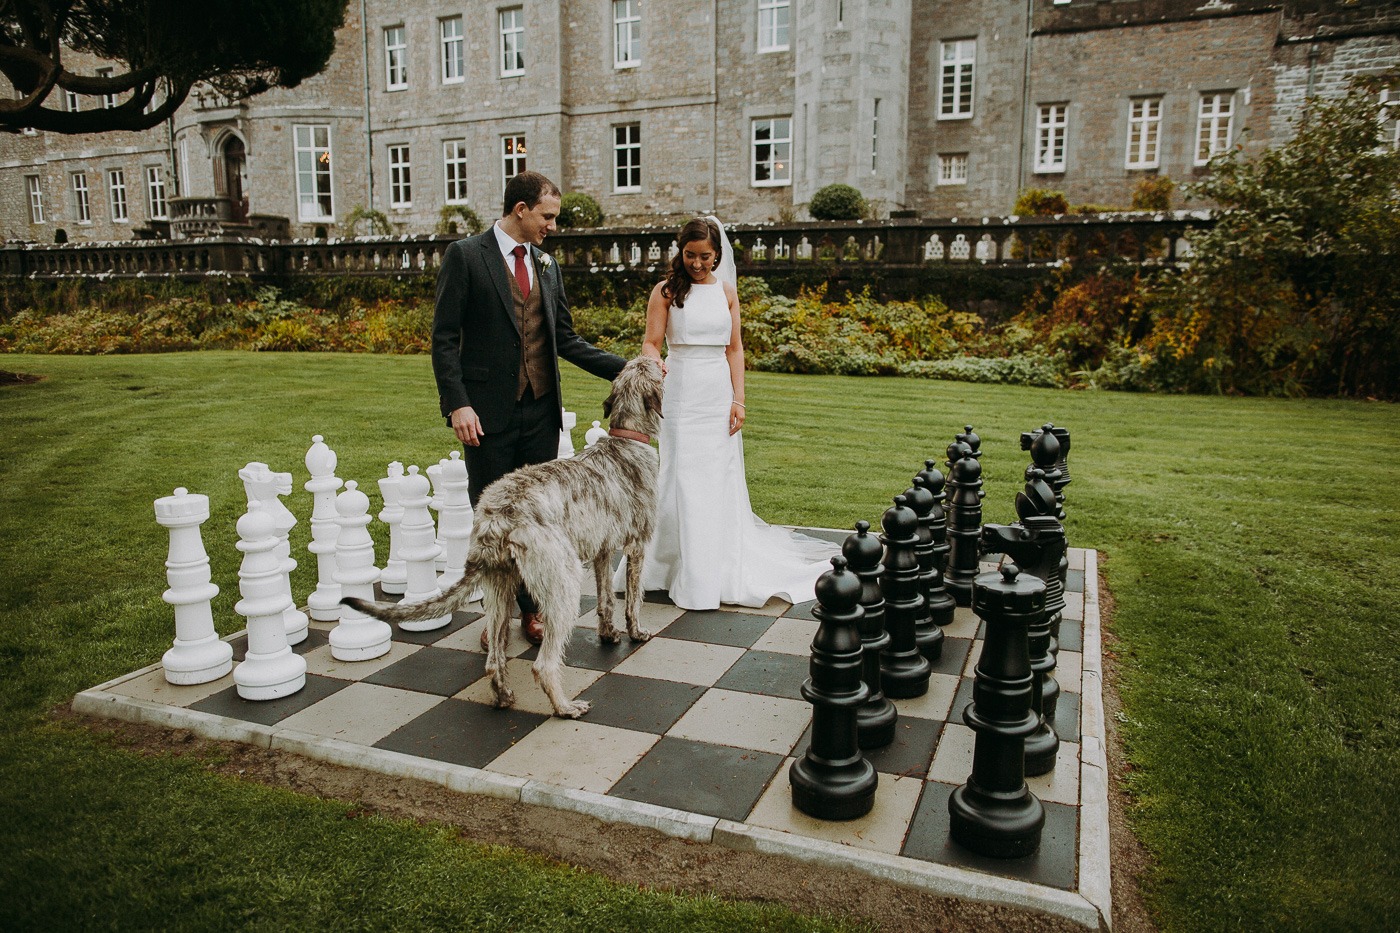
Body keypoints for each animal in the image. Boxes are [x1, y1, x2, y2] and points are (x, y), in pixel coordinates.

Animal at [341, 353, 663, 714]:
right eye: (649, 368)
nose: (651, 355)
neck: (627, 437)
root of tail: (495, 517)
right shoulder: (637, 544)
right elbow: (633, 598)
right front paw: (636, 632)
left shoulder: (603, 551)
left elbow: (606, 598)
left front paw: (608, 634)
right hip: (562, 584)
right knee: (544, 664)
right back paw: (565, 707)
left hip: (499, 583)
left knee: (494, 655)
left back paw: (503, 695)